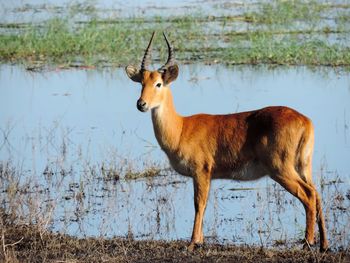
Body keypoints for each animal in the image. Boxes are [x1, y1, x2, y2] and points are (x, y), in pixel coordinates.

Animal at [125, 32, 328, 253]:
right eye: (141, 83)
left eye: (158, 83)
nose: (141, 104)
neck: (181, 129)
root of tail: (305, 121)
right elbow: (203, 204)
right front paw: (200, 241)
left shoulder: (201, 172)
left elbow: (199, 204)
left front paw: (192, 243)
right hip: (303, 166)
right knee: (317, 194)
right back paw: (324, 245)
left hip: (281, 169)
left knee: (308, 195)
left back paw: (307, 243)